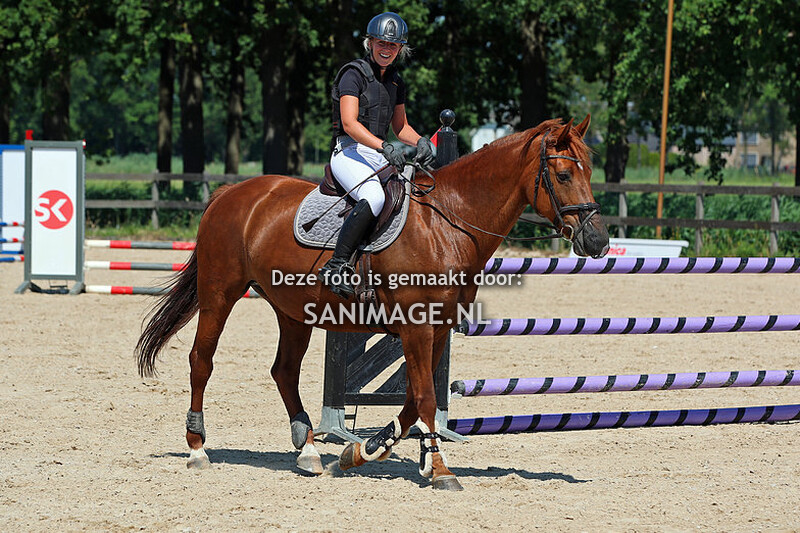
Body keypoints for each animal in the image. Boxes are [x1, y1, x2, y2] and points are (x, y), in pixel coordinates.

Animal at [135, 115, 609, 491]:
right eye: (563, 176)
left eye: (589, 170)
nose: (598, 242)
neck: (447, 223)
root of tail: (230, 193)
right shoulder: (416, 327)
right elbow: (426, 398)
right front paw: (439, 470)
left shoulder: (436, 329)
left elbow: (415, 399)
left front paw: (365, 451)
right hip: (220, 293)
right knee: (202, 360)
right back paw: (198, 448)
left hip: (293, 312)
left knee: (284, 371)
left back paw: (308, 450)